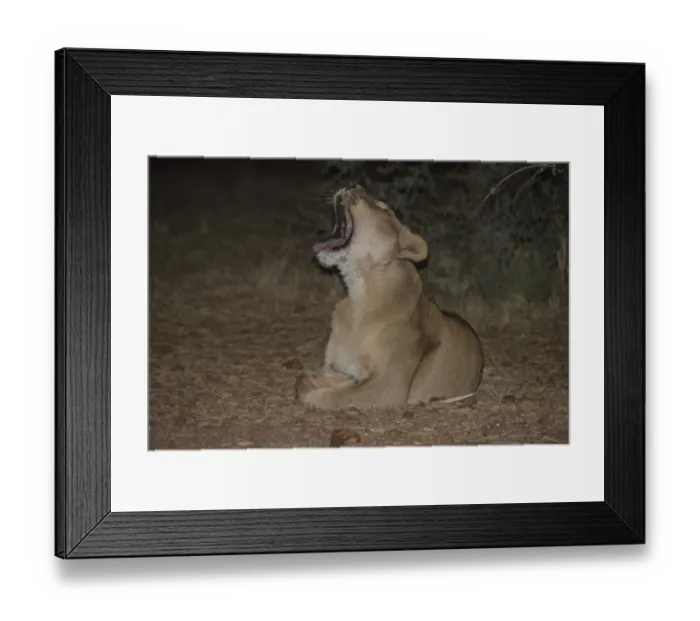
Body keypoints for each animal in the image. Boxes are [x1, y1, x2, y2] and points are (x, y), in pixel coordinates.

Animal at [295, 184, 484, 410]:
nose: (353, 185)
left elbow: (336, 396)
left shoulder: (389, 387)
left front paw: (316, 394)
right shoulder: (334, 366)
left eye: (384, 208)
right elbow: (308, 377)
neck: (359, 296)